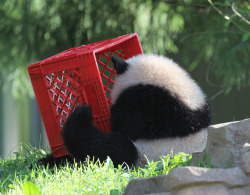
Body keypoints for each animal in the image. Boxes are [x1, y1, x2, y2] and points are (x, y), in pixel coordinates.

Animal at [38, 53, 211, 168]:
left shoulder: (157, 107)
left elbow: (128, 122)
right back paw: (46, 162)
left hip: (146, 154)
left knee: (104, 147)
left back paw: (81, 114)